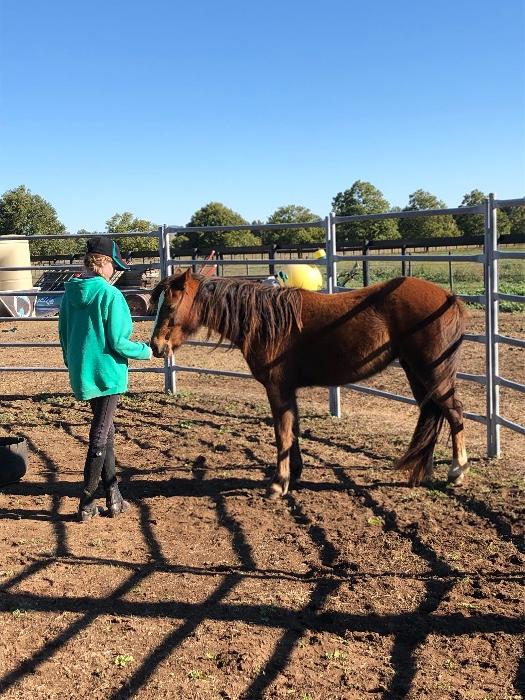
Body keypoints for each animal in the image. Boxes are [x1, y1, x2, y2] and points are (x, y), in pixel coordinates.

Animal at [149, 270, 468, 497]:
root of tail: (450, 298)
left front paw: (278, 484)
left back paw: (456, 472)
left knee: (454, 413)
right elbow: (294, 430)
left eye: (171, 307)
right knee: (432, 411)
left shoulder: (277, 389)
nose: (156, 346)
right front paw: (295, 474)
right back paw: (424, 470)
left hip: (433, 372)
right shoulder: (288, 391)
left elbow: (282, 432)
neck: (267, 322)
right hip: (416, 372)